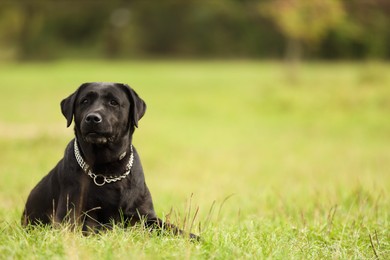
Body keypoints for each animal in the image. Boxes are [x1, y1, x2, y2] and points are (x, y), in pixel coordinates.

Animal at [22, 82, 197, 239]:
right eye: (85, 101)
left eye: (113, 102)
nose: (93, 118)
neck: (108, 169)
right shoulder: (69, 218)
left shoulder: (145, 217)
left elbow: (170, 228)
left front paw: (194, 237)